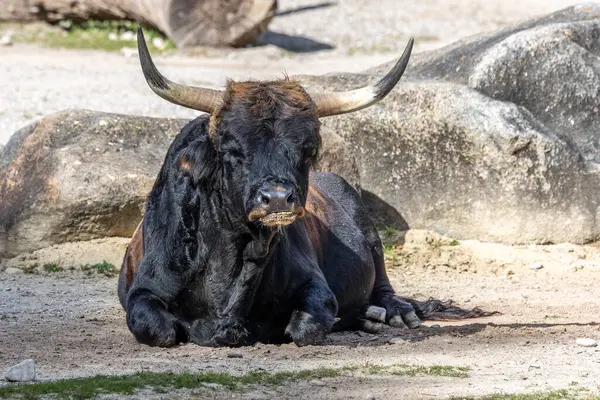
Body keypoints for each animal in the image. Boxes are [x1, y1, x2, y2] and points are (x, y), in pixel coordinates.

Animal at [117, 28, 492, 348]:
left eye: (308, 149)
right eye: (232, 149)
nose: (277, 199)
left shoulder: (317, 287)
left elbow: (308, 326)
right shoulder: (143, 293)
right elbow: (160, 329)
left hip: (372, 240)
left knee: (384, 287)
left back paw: (393, 313)